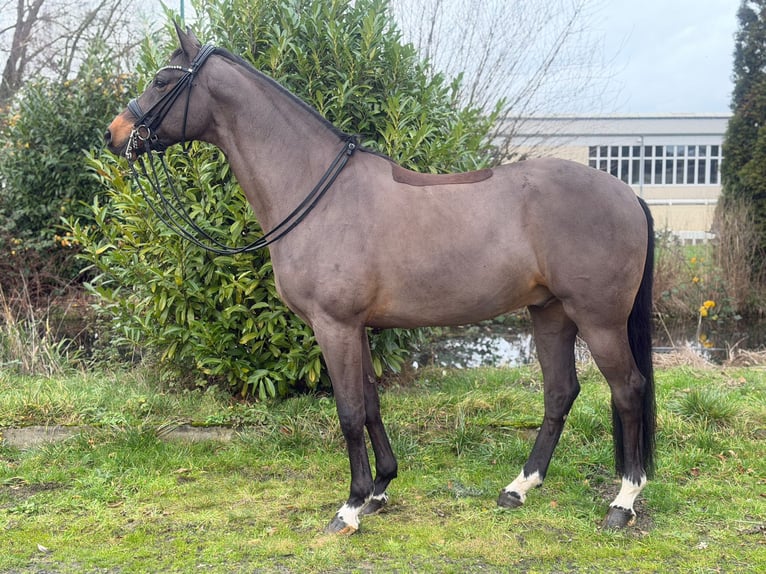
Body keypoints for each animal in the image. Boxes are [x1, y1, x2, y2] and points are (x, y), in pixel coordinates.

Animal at [105, 24, 656, 534]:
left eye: (161, 80)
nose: (115, 134)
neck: (318, 192)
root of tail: (627, 194)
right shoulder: (356, 328)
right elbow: (370, 404)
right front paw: (380, 489)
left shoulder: (334, 326)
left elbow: (349, 411)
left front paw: (349, 507)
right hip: (549, 312)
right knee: (560, 392)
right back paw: (520, 487)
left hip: (598, 319)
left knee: (628, 389)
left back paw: (623, 502)